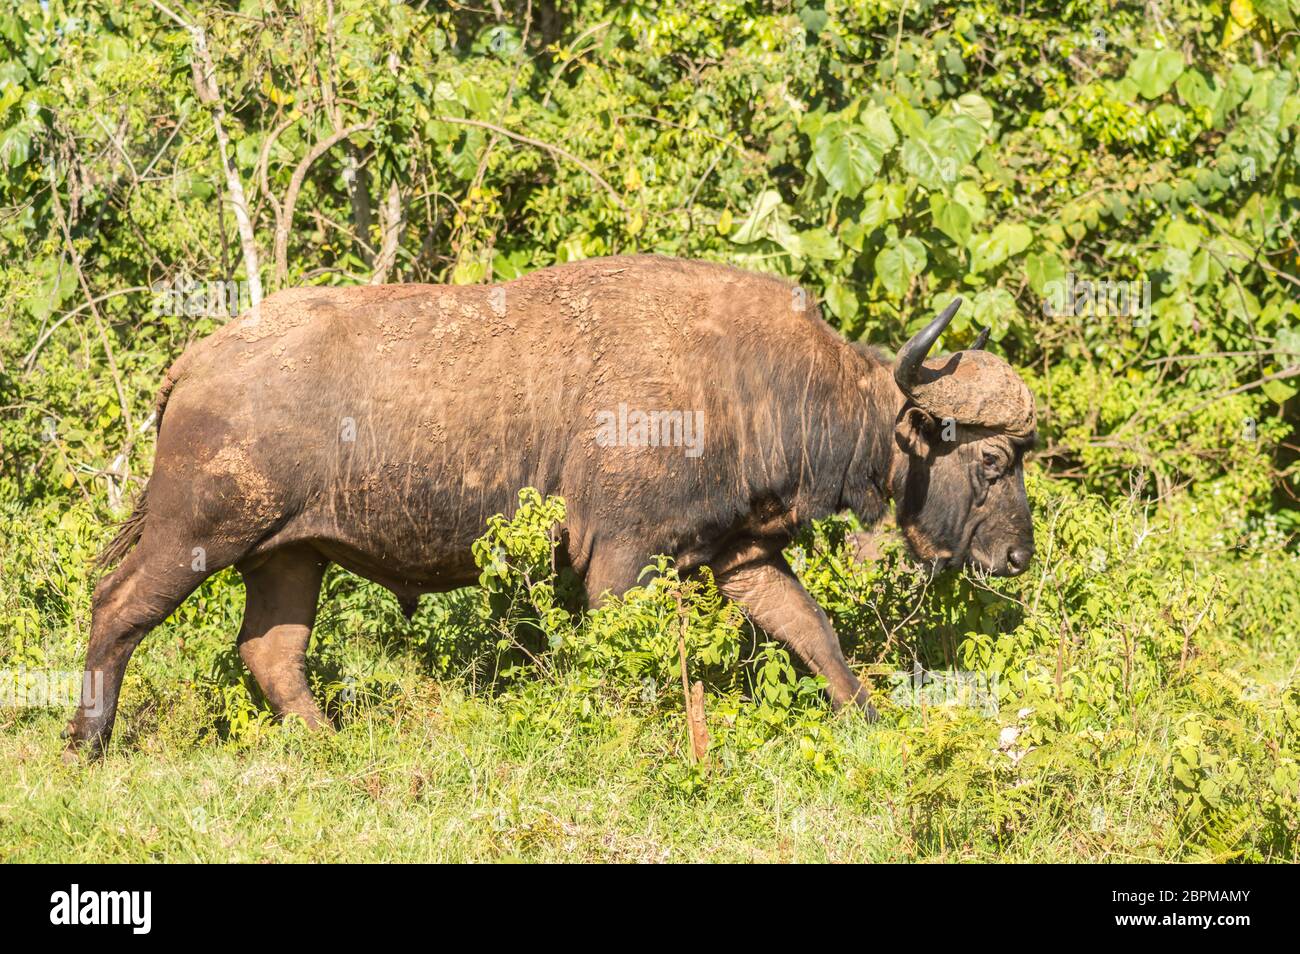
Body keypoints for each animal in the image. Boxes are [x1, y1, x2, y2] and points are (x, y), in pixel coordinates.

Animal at [63, 256, 1034, 764]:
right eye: (989, 457)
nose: (1017, 557)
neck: (748, 379)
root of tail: (199, 360)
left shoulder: (738, 554)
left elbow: (811, 630)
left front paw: (867, 718)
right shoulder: (623, 561)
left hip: (290, 558)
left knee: (271, 654)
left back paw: (331, 747)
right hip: (199, 537)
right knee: (117, 610)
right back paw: (86, 743)